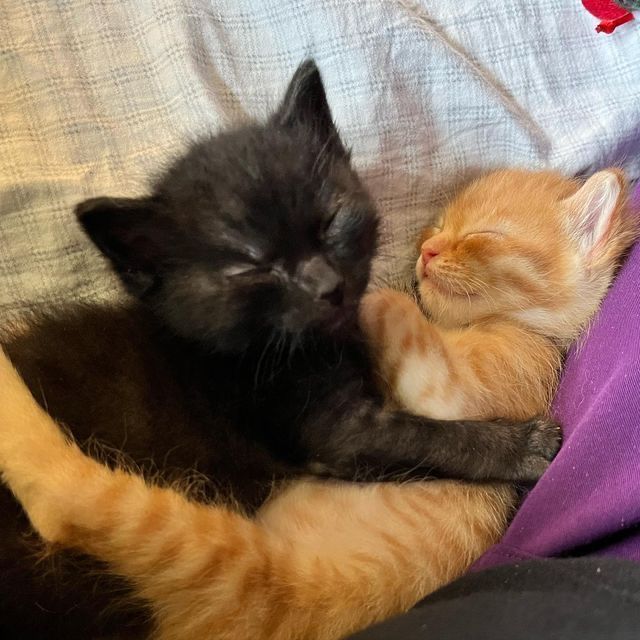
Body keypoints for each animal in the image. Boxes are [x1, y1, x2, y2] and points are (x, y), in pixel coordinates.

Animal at [0, 61, 556, 640]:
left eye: (331, 220)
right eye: (250, 267)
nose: (327, 285)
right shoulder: (335, 433)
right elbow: (425, 436)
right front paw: (523, 446)